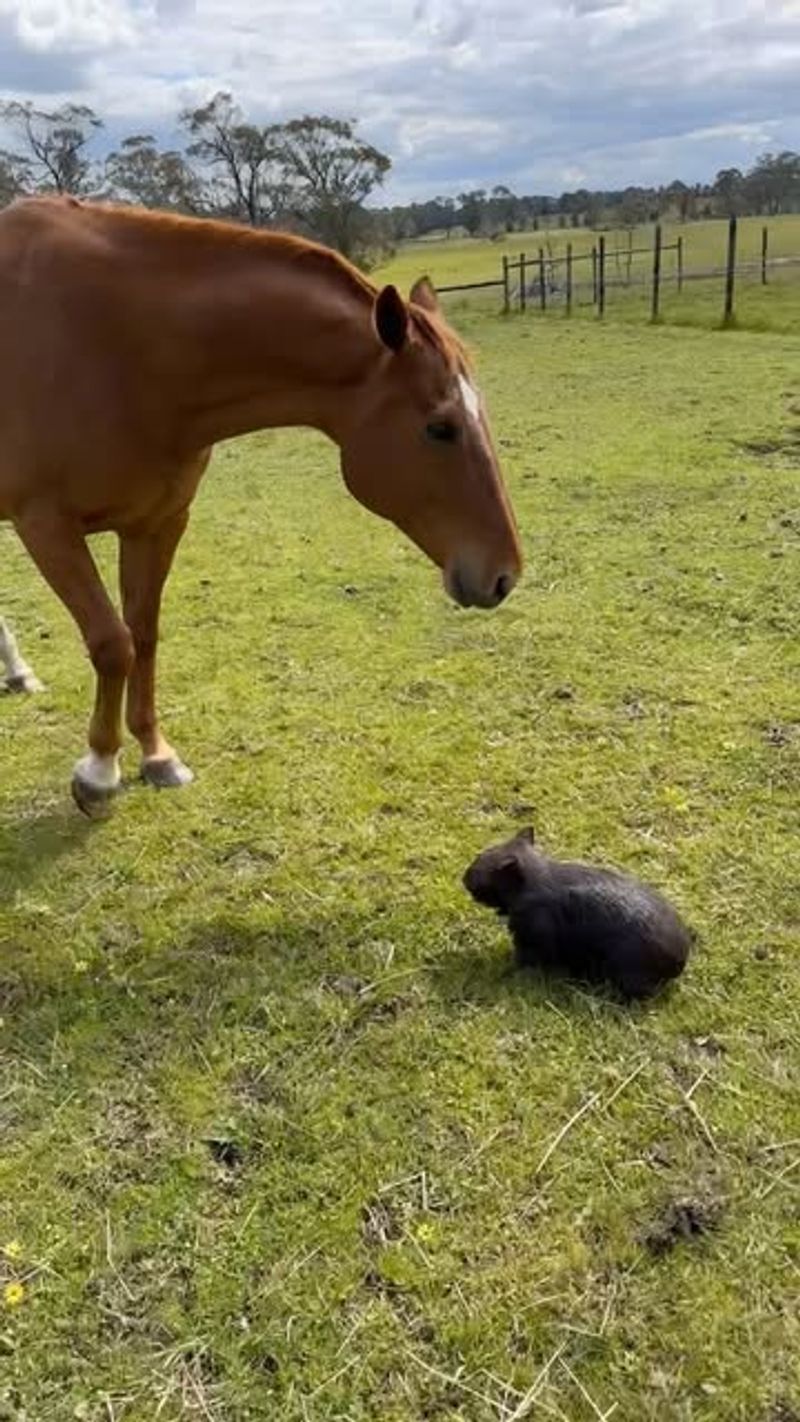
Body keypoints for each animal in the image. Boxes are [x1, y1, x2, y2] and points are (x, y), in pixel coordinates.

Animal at [0, 194, 522, 813]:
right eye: (440, 427)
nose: (504, 574)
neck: (115, 344)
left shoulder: (157, 523)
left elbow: (143, 636)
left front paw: (157, 754)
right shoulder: (47, 526)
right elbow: (111, 643)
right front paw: (99, 770)